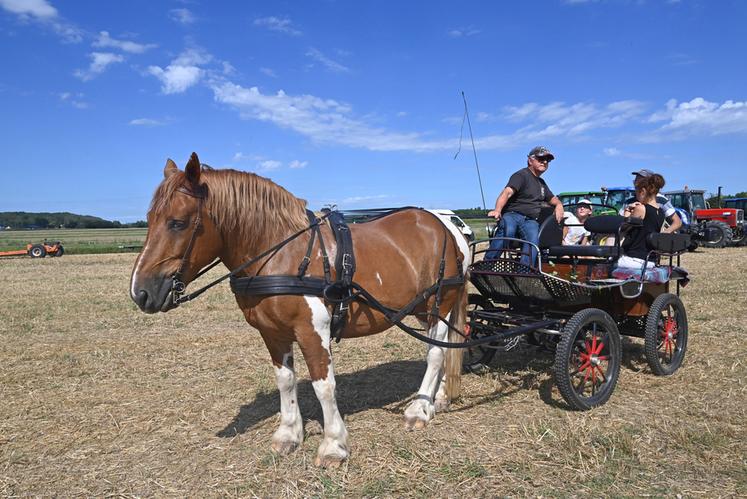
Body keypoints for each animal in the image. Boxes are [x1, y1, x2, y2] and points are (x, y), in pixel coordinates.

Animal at [128, 153, 468, 468]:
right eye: (149, 218)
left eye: (178, 222)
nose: (140, 292)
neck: (283, 253)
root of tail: (447, 226)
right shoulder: (273, 334)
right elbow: (285, 380)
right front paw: (289, 433)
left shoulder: (312, 330)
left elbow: (324, 386)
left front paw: (334, 445)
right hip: (423, 309)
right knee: (443, 349)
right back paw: (436, 399)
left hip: (441, 303)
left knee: (436, 354)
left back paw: (419, 409)